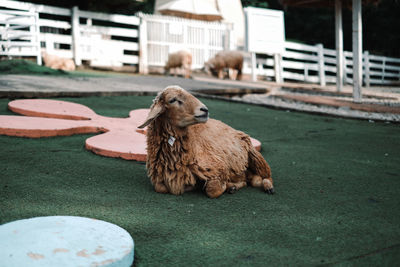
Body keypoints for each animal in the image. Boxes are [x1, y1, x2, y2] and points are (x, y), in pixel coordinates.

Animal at [138, 86, 276, 199]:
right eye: (172, 100)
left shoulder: (219, 167)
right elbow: (160, 188)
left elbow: (212, 190)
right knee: (247, 180)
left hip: (256, 156)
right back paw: (234, 186)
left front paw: (223, 186)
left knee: (266, 176)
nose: (204, 110)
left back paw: (268, 187)